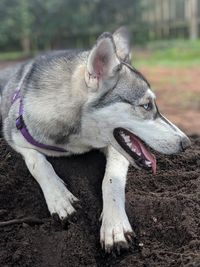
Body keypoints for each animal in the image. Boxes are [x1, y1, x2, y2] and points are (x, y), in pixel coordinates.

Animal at [0, 27, 191, 253]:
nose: (186, 143)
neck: (78, 139)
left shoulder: (115, 148)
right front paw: (59, 197)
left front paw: (114, 226)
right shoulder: (13, 132)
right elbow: (37, 162)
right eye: (146, 106)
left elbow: (111, 180)